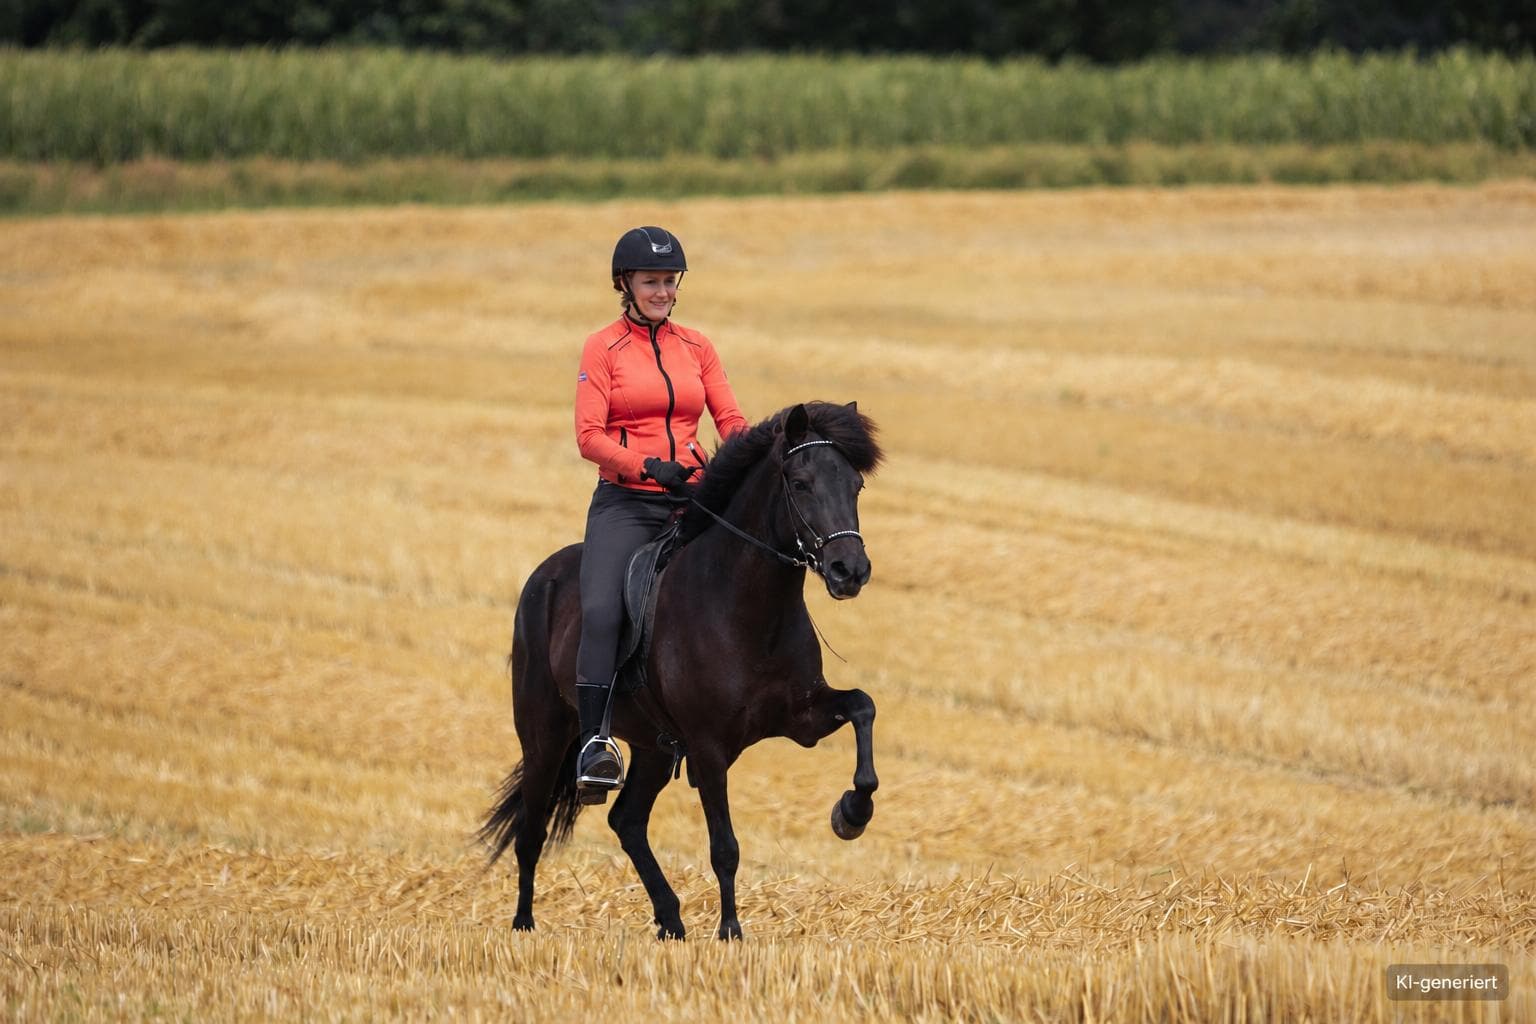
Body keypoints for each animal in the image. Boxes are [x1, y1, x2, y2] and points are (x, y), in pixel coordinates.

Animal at [479, 401, 884, 940]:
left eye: (855, 485)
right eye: (800, 483)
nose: (849, 571)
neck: (748, 606)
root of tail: (543, 576)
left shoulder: (801, 718)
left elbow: (863, 706)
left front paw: (853, 813)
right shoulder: (709, 747)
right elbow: (725, 846)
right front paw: (731, 931)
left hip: (653, 746)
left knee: (627, 821)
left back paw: (670, 919)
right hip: (544, 733)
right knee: (532, 830)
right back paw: (524, 924)